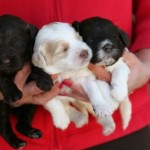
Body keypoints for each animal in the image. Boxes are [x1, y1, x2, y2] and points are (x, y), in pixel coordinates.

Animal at [0, 14, 53, 149]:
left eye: (18, 42)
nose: (5, 62)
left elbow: (35, 64)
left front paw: (44, 79)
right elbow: (3, 78)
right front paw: (12, 91)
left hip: (30, 106)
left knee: (21, 124)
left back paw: (31, 131)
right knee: (4, 127)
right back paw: (16, 141)